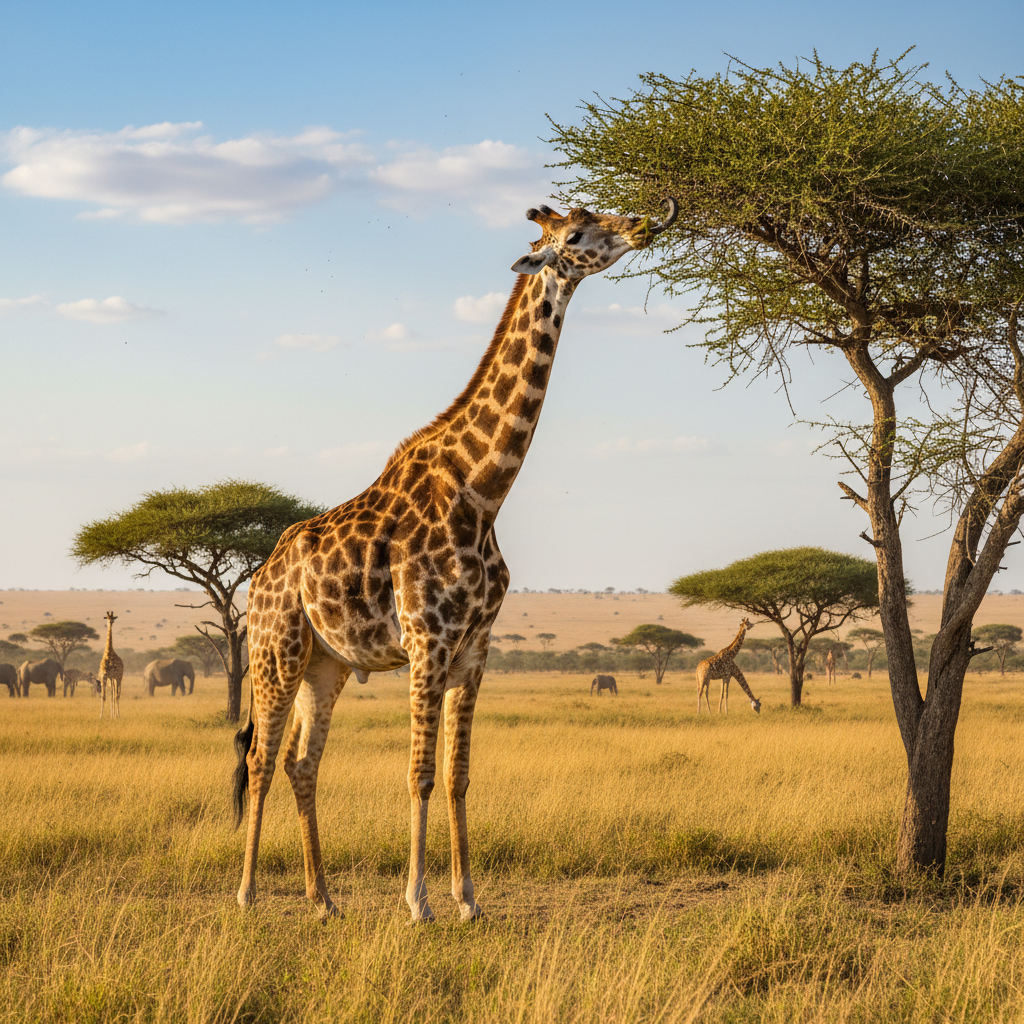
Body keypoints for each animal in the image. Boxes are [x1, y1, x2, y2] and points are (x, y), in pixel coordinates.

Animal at [232, 198, 678, 923]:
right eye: (577, 233)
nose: (645, 221)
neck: (483, 489)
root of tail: (260, 579)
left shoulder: (474, 651)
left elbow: (458, 776)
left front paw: (468, 900)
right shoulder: (426, 645)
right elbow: (418, 773)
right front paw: (418, 903)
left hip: (327, 664)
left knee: (303, 763)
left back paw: (324, 899)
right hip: (278, 653)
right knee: (262, 761)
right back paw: (246, 894)